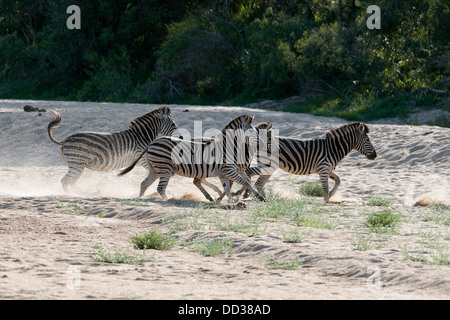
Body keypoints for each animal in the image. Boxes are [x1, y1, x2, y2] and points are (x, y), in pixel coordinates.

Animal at [47, 107, 178, 192]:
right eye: (173, 124)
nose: (180, 137)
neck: (141, 136)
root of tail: (64, 140)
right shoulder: (141, 158)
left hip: (78, 165)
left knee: (72, 182)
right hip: (77, 163)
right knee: (65, 181)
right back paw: (72, 196)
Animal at [119, 114, 268, 201]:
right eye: (252, 132)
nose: (262, 144)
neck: (230, 147)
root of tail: (152, 143)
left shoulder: (224, 173)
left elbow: (228, 187)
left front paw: (230, 202)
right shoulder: (229, 170)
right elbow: (245, 183)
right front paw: (259, 197)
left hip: (155, 169)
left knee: (144, 183)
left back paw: (140, 199)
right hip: (165, 168)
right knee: (160, 188)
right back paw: (170, 200)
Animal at [237, 121, 378, 204]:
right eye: (367, 140)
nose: (375, 155)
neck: (332, 148)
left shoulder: (327, 169)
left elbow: (338, 180)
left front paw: (331, 195)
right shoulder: (323, 168)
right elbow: (325, 186)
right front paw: (327, 200)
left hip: (269, 166)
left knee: (259, 182)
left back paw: (265, 197)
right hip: (268, 164)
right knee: (249, 173)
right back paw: (245, 193)